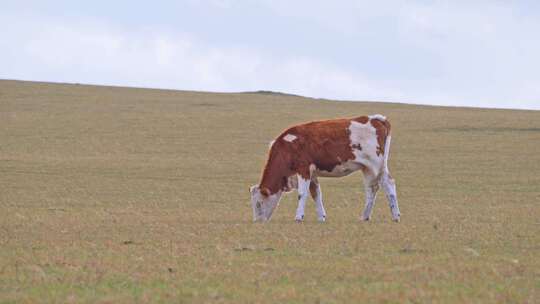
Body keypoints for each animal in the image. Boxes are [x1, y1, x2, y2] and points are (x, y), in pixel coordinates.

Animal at [250, 114, 400, 223]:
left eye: (258, 204)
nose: (257, 222)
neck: (286, 148)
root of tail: (375, 119)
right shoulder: (312, 174)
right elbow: (316, 194)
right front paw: (321, 217)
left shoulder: (303, 169)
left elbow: (302, 194)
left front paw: (299, 217)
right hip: (367, 168)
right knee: (372, 189)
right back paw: (366, 216)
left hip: (377, 165)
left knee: (388, 184)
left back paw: (395, 216)